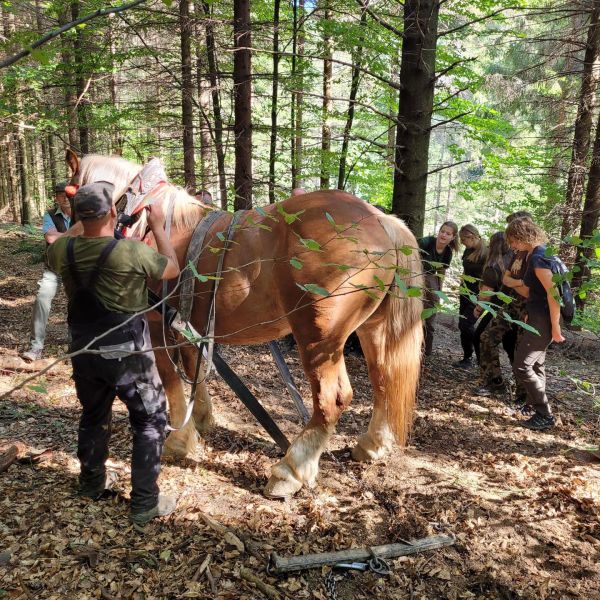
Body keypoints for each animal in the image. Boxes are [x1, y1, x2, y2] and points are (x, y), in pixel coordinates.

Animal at [67, 152, 422, 500]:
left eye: (68, 194)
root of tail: (380, 219)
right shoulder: (188, 323)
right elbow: (195, 369)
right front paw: (202, 419)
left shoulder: (157, 323)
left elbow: (170, 380)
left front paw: (179, 441)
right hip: (372, 328)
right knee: (383, 379)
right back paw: (372, 445)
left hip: (319, 336)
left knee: (332, 398)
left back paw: (290, 470)